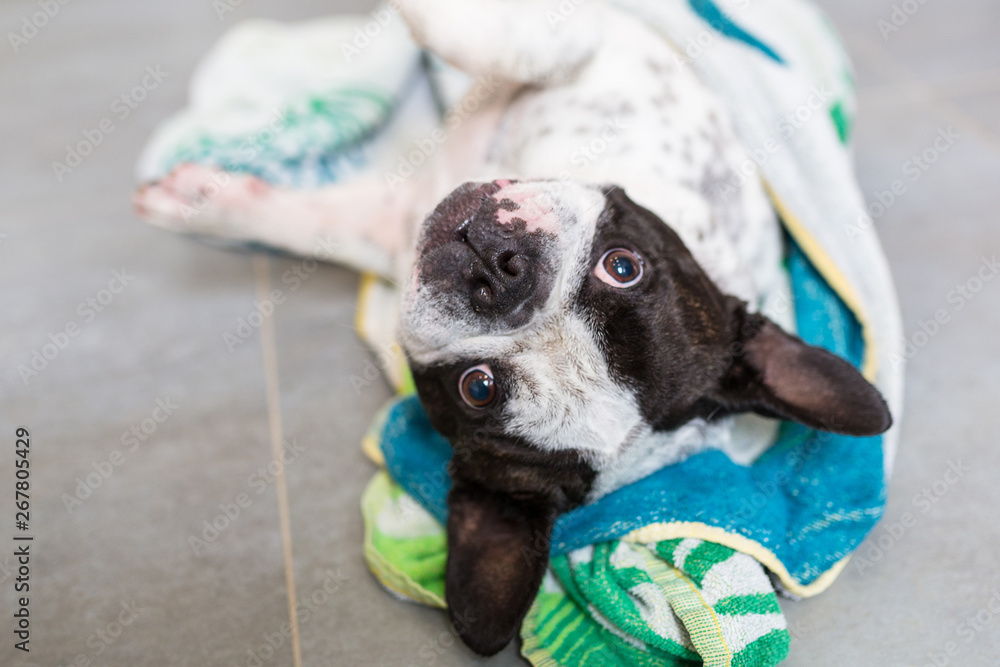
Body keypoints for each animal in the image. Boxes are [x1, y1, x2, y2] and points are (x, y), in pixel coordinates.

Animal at [133, 0, 892, 656]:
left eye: (479, 388)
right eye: (624, 265)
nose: (504, 277)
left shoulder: (580, 38)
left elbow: (510, 38)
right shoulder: (400, 221)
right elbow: (314, 223)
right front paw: (206, 203)